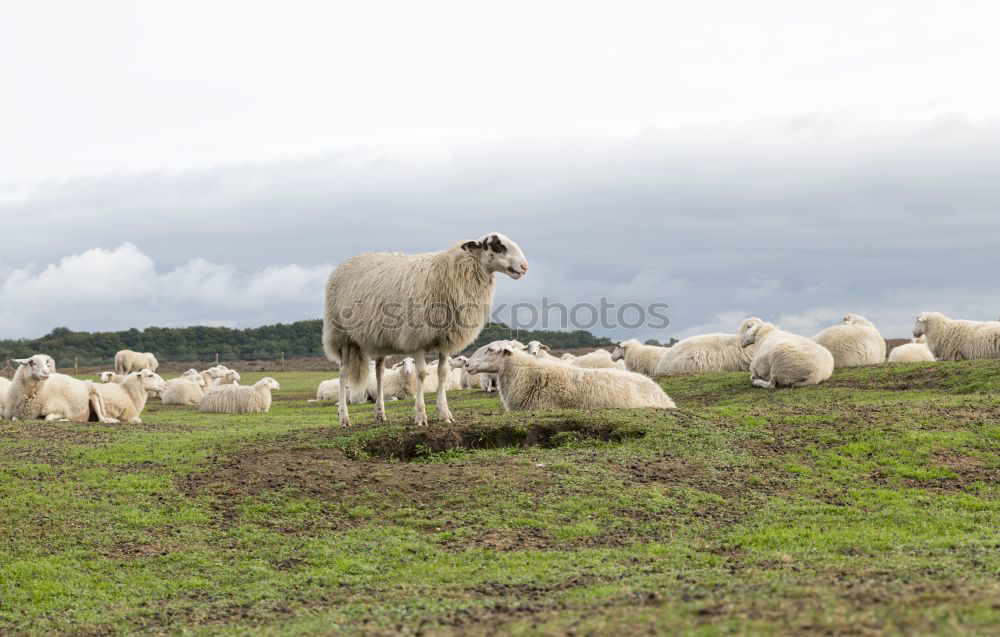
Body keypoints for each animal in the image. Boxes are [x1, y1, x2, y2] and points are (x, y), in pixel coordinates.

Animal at [326, 234, 532, 428]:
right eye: (497, 245)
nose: (524, 266)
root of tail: (350, 260)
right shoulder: (417, 337)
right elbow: (421, 373)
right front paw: (420, 416)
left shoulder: (446, 340)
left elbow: (443, 373)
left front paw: (445, 414)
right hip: (342, 336)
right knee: (343, 375)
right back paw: (344, 419)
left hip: (379, 340)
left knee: (379, 373)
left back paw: (380, 414)